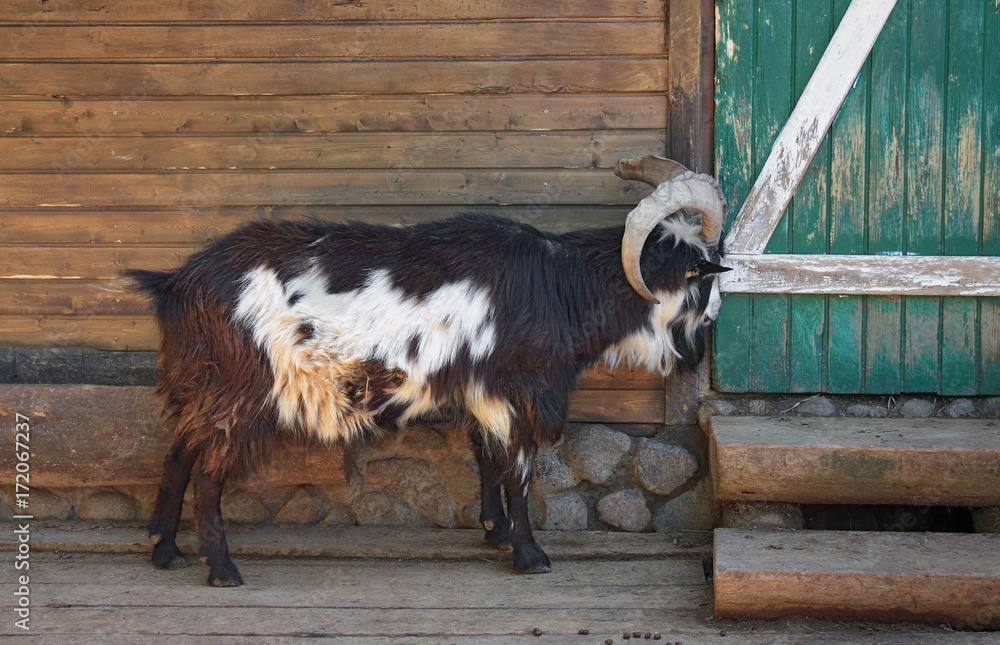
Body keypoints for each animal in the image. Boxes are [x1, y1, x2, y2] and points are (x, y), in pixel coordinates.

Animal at [128, 156, 729, 586]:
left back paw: (165, 551)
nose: (711, 327)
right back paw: (221, 569)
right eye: (699, 273)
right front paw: (530, 553)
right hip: (243, 391)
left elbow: (487, 460)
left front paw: (494, 531)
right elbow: (517, 471)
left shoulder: (480, 393)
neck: (559, 286)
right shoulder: (512, 391)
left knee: (178, 455)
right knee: (208, 474)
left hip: (204, 385)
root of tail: (178, 283)